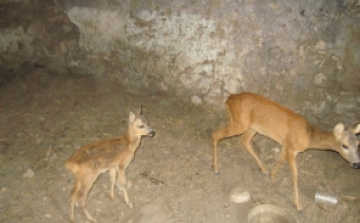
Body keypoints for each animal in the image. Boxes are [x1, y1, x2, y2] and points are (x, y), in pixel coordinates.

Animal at [211, 92, 360, 211]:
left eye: (358, 144)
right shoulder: (291, 147)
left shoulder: (285, 144)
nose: (357, 164)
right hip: (239, 123)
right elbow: (295, 174)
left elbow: (281, 159)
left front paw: (272, 175)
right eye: (345, 145)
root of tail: (229, 99)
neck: (307, 136)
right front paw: (299, 205)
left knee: (244, 140)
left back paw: (263, 168)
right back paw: (216, 168)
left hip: (253, 127)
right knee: (216, 134)